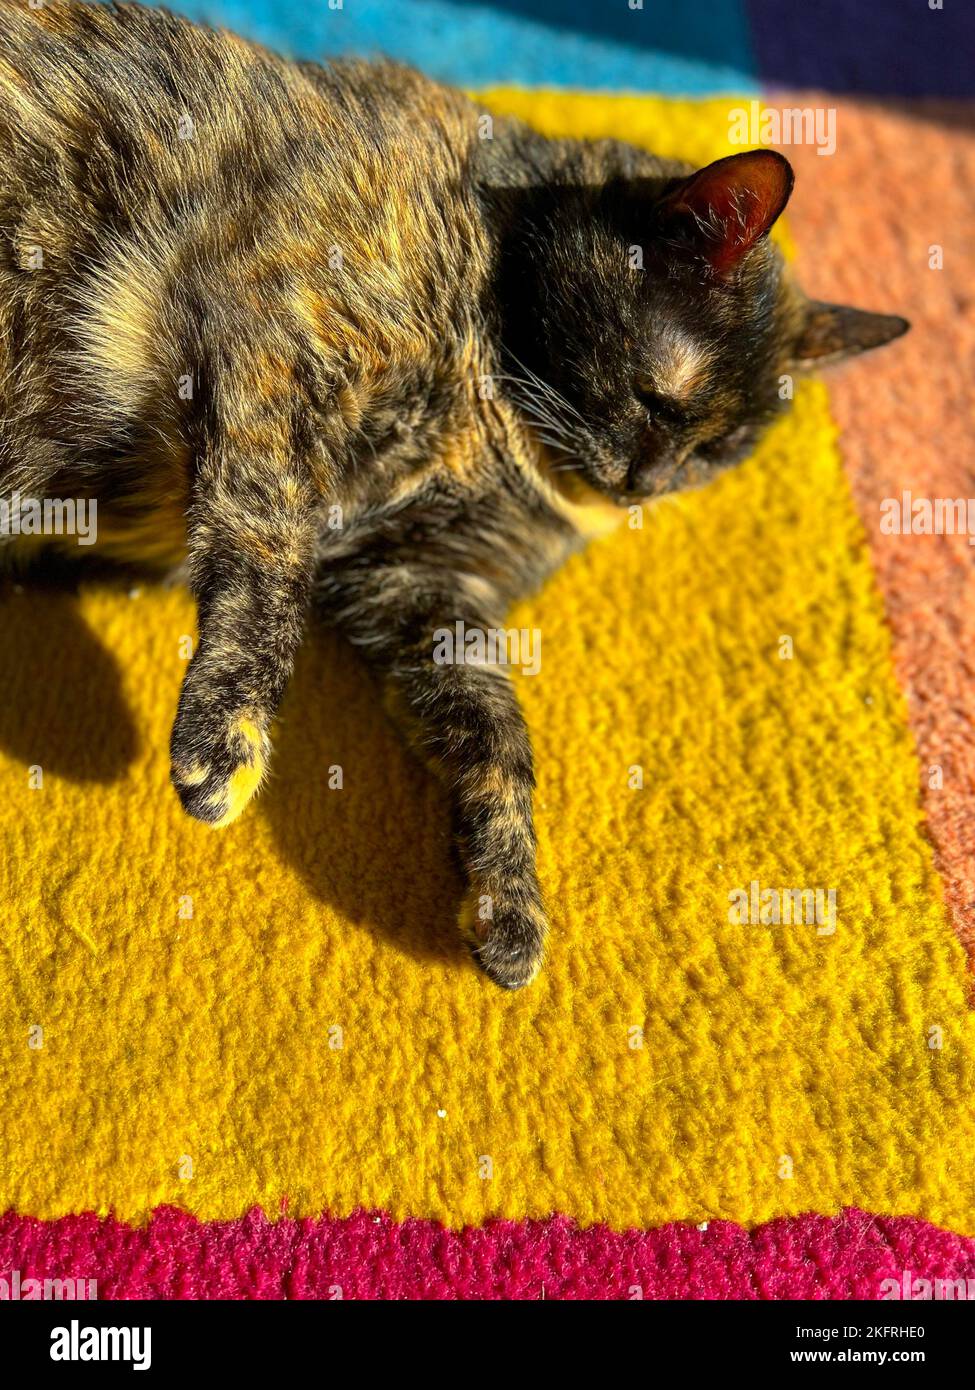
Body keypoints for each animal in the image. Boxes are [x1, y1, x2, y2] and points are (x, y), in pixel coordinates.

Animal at [0, 5, 906, 995]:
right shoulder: (276, 340)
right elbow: (269, 559)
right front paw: (225, 745)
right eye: (658, 399)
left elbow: (497, 732)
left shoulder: (421, 583)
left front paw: (509, 904)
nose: (645, 484)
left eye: (717, 454)